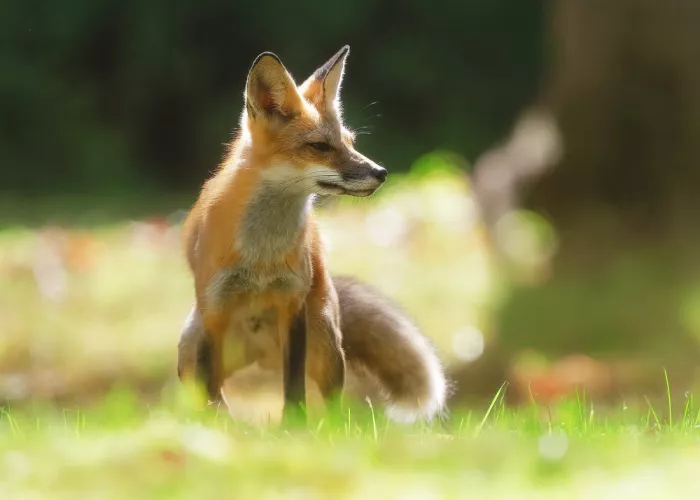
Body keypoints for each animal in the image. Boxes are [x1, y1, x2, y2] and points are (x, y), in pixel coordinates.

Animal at [177, 45, 448, 424]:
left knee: (330, 398)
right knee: (203, 386)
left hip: (324, 339)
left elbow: (293, 385)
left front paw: (294, 425)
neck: (261, 257)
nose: (381, 172)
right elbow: (211, 387)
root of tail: (261, 354)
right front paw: (218, 425)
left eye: (350, 142)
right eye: (320, 146)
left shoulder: (293, 306)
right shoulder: (214, 311)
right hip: (189, 343)